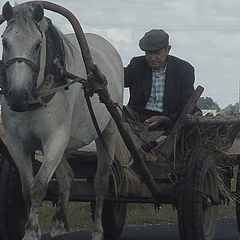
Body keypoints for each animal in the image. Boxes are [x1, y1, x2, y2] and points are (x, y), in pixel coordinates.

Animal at [0, 2, 123, 240]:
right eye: (4, 41)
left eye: (38, 44)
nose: (17, 96)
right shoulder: (16, 143)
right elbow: (27, 188)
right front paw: (34, 229)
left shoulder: (55, 138)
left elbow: (39, 185)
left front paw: (31, 232)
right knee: (67, 176)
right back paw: (59, 225)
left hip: (108, 131)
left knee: (101, 182)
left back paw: (97, 230)